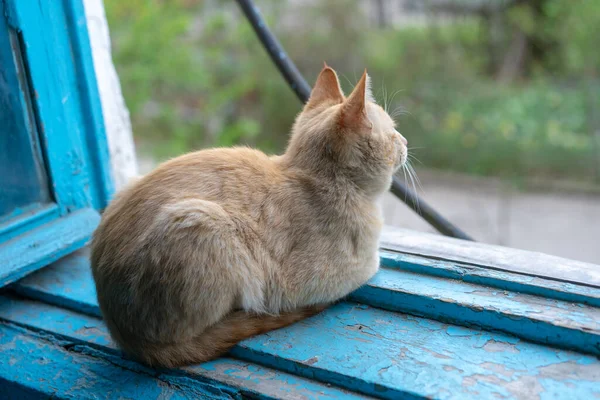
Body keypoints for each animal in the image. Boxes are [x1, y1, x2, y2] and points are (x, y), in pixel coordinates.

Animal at [90, 64, 408, 368]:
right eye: (393, 131)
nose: (405, 140)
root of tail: (124, 337)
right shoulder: (344, 275)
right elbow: (372, 265)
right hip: (203, 221)